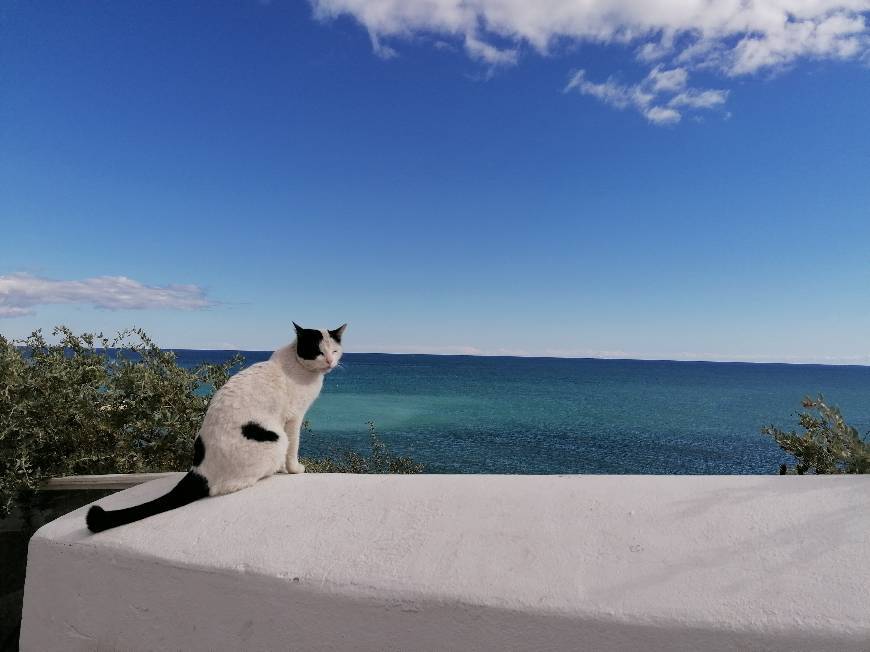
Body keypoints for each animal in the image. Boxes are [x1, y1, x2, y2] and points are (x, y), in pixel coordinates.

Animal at [87, 322, 348, 536]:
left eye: (334, 351)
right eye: (318, 351)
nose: (330, 362)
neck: (295, 364)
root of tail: (200, 470)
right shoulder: (293, 420)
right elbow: (294, 449)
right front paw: (294, 469)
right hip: (276, 439)